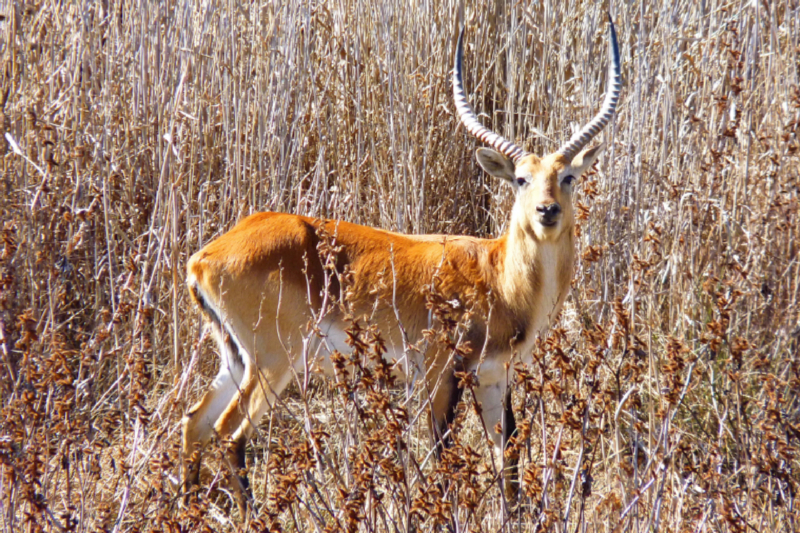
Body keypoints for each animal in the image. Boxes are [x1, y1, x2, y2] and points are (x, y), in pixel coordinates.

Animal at [183, 18, 624, 512]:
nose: (547, 211)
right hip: (273, 362)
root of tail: (204, 256)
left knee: (194, 422)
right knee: (228, 433)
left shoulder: (495, 378)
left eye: (566, 176)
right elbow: (444, 455)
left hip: (236, 359)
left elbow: (506, 455)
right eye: (520, 179)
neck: (497, 277)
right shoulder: (439, 375)